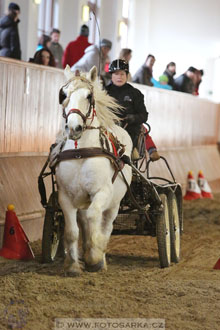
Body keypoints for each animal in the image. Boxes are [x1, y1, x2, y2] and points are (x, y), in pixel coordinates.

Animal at [53, 65, 132, 276]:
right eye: (63, 95)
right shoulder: (65, 196)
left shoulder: (102, 192)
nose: (74, 128)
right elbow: (72, 231)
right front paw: (73, 265)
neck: (80, 152)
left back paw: (99, 256)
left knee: (105, 225)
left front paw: (94, 258)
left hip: (114, 203)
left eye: (89, 96)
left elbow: (93, 218)